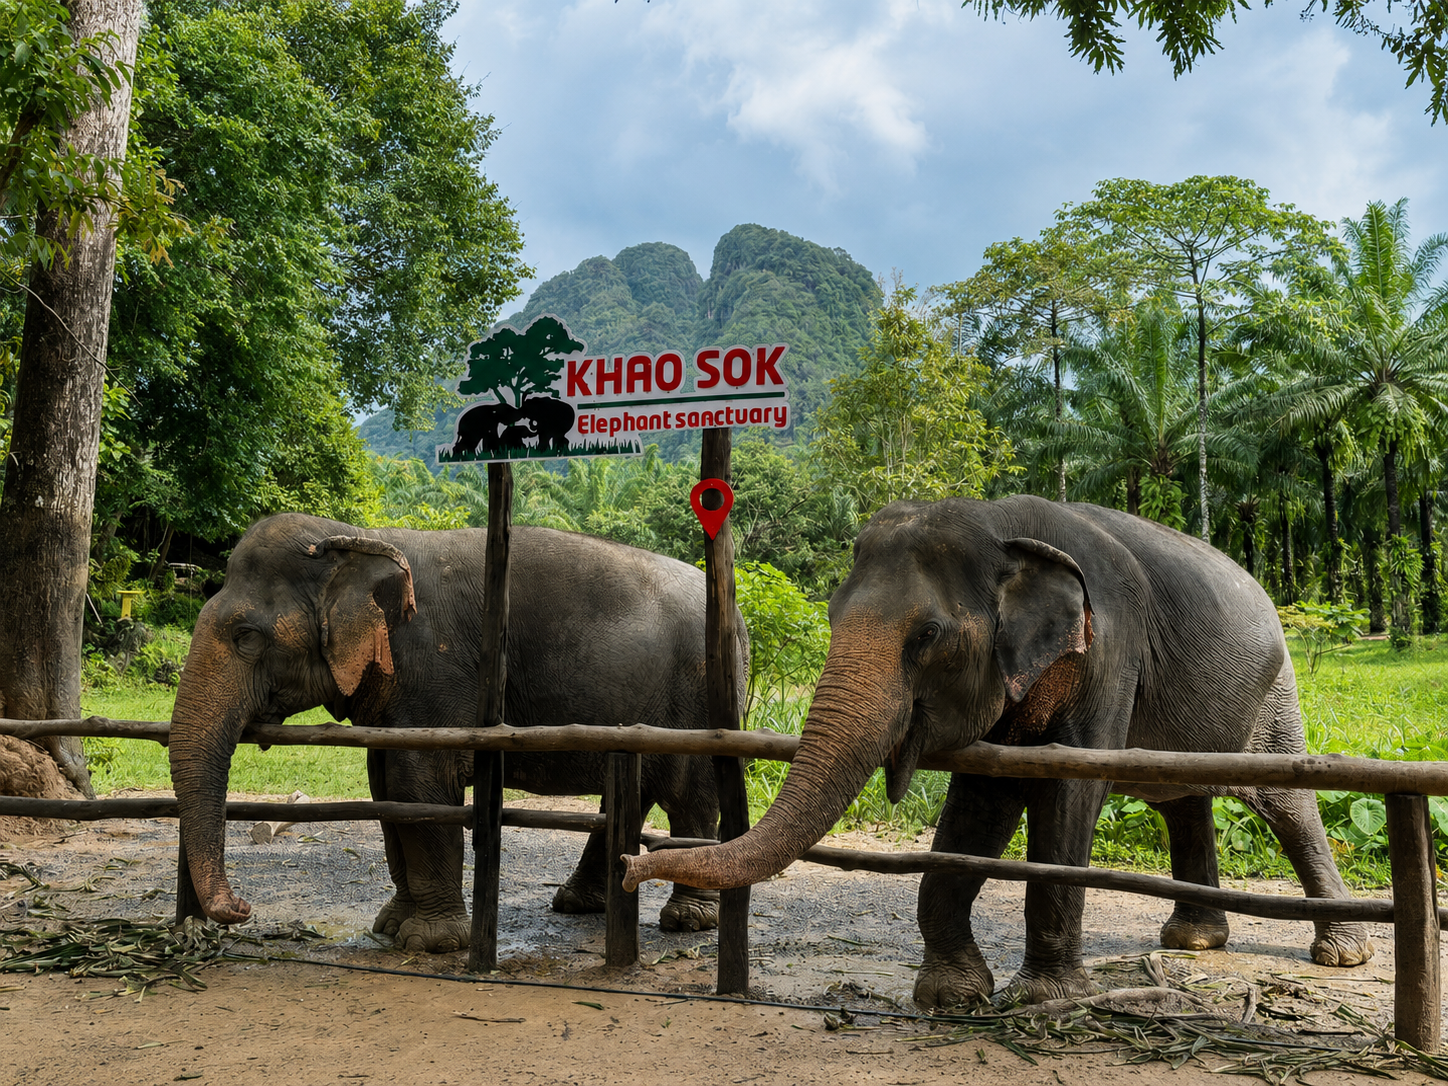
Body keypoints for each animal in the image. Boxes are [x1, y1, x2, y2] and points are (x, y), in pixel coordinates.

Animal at [170, 512, 746, 953]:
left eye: (246, 636)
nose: (242, 908)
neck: (357, 537)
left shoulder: (435, 671)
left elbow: (418, 787)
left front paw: (432, 943)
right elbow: (385, 789)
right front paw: (390, 925)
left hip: (700, 699)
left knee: (690, 796)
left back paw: (687, 920)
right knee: (633, 791)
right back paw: (577, 903)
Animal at [624, 495, 1374, 1008]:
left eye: (927, 635)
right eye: (831, 615)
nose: (632, 866)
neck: (1002, 525)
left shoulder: (1111, 646)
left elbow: (1068, 793)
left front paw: (1044, 1000)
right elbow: (981, 800)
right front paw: (954, 994)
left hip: (1275, 693)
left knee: (1289, 808)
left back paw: (1341, 955)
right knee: (1182, 800)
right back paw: (1192, 942)